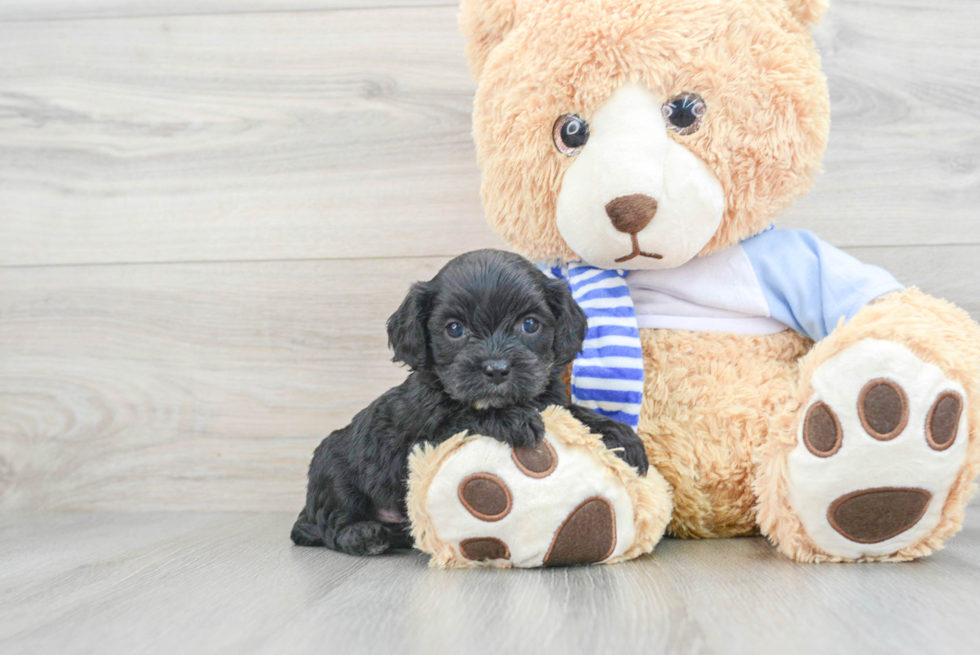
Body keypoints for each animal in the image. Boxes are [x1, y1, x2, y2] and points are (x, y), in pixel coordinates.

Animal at [290, 249, 652, 556]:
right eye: (454, 329)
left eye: (530, 324)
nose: (496, 369)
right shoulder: (420, 439)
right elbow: (464, 416)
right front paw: (510, 417)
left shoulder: (551, 401)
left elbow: (573, 412)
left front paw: (621, 436)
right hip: (333, 469)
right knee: (333, 524)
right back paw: (364, 534)